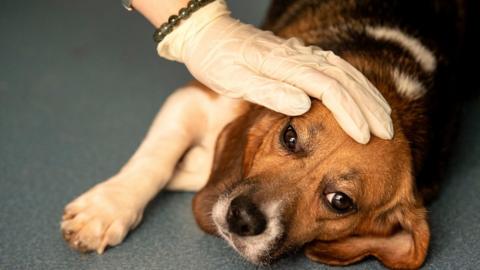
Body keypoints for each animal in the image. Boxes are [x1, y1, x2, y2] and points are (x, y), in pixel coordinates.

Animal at [60, 1, 464, 268]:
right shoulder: (195, 100)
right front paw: (106, 210)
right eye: (289, 136)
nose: (242, 218)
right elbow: (155, 159)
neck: (391, 90)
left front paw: (193, 168)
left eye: (340, 201)